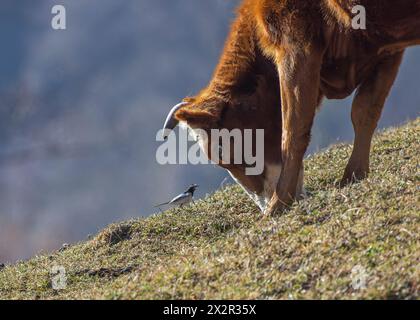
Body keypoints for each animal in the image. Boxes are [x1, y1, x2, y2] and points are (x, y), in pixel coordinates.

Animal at [163, 1, 420, 215]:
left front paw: (278, 204)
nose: (263, 204)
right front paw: (354, 176)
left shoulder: (295, 43)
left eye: (222, 151)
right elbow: (365, 111)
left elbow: (293, 130)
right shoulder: (386, 49)